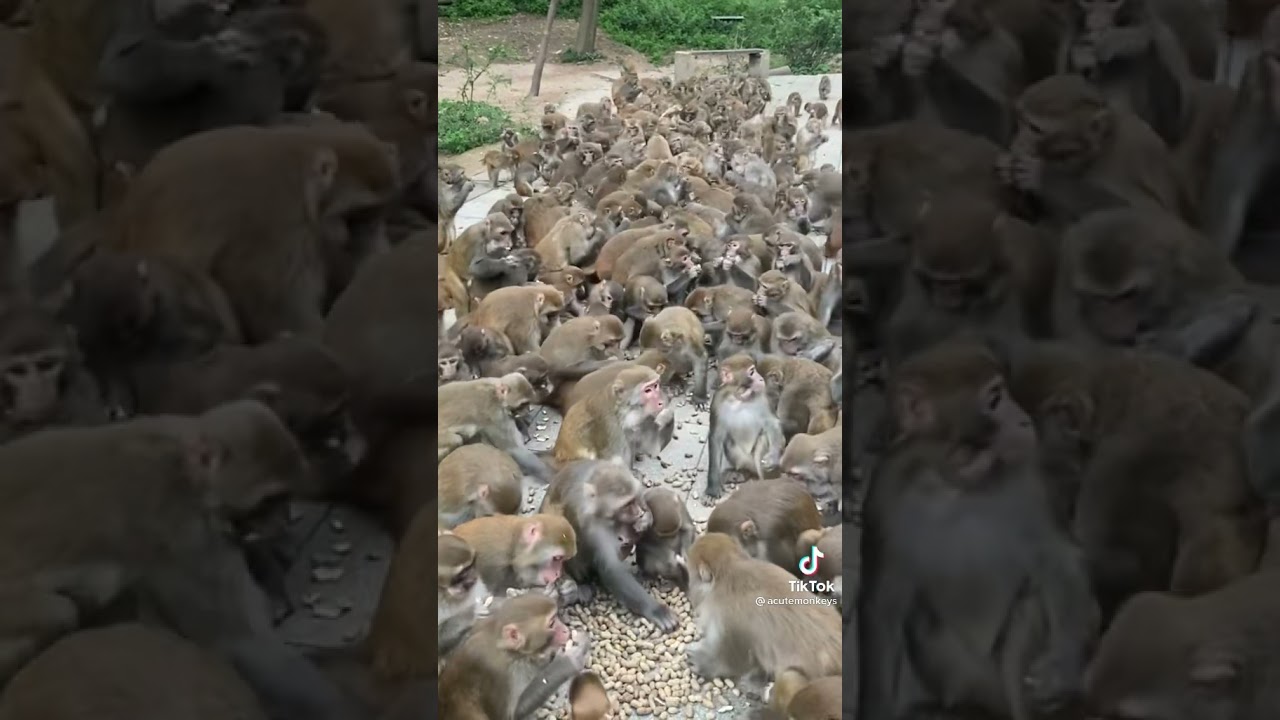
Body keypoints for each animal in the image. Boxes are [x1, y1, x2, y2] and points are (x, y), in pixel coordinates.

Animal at [540, 460, 680, 632]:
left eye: (633, 500)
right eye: (626, 505)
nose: (637, 512)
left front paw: (646, 517)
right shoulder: (590, 524)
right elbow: (611, 568)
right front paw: (656, 610)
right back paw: (581, 586)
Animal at [705, 354, 787, 503]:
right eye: (752, 372)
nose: (761, 378)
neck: (739, 397)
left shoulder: (763, 395)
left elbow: (772, 423)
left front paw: (773, 457)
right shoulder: (717, 401)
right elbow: (716, 437)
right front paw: (712, 489)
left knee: (763, 439)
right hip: (744, 460)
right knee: (729, 443)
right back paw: (740, 474)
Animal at [860, 339, 1100, 720]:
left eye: (1003, 392)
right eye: (994, 399)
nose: (1023, 419)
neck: (955, 482)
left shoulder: (1027, 477)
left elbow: (1058, 559)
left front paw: (1063, 664)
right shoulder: (886, 491)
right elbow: (885, 607)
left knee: (1031, 607)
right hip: (964, 677)